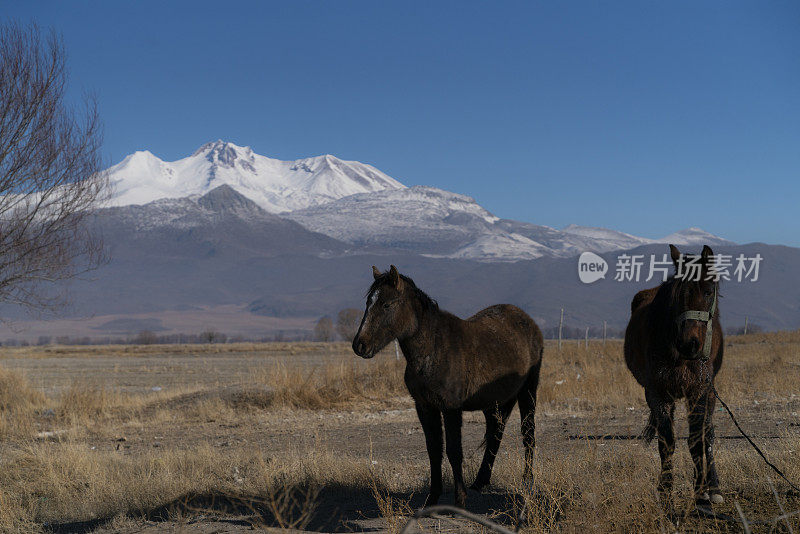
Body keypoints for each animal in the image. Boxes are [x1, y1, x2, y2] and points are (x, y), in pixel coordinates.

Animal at [352, 268, 544, 510]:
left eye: (387, 304)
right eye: (369, 302)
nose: (360, 345)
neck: (433, 349)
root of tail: (528, 322)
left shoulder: (451, 408)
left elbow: (454, 451)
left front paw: (459, 501)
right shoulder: (425, 407)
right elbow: (434, 450)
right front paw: (432, 499)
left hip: (528, 390)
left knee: (528, 433)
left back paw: (528, 480)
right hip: (494, 403)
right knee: (495, 435)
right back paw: (481, 481)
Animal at [624, 246, 724, 506]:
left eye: (708, 291)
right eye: (678, 295)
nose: (689, 343)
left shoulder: (699, 390)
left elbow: (697, 439)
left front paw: (702, 490)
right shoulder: (658, 393)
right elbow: (667, 442)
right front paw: (665, 489)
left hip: (710, 391)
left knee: (708, 434)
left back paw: (714, 486)